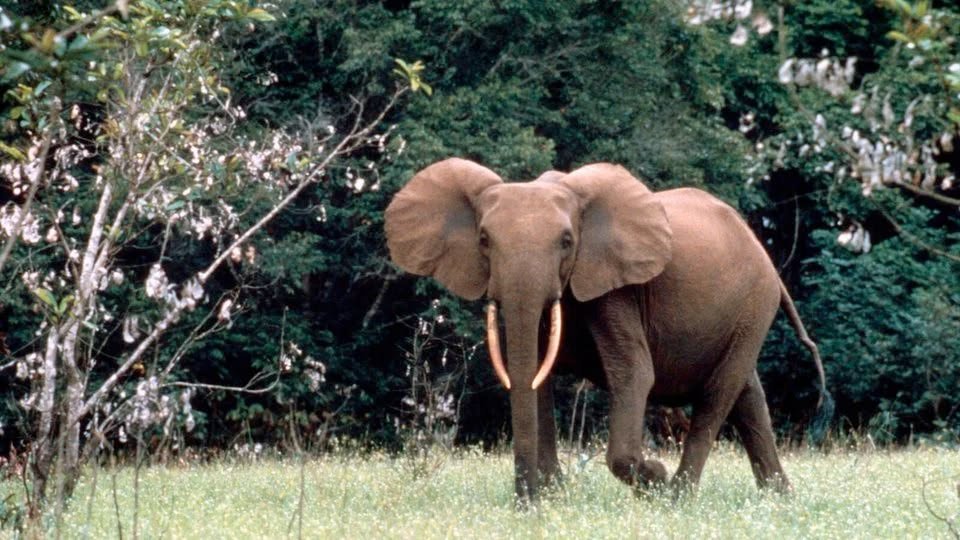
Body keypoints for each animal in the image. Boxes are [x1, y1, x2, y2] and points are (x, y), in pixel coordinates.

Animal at [384, 158, 826, 502]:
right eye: (484, 240)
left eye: (567, 241)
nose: (524, 503)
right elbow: (535, 375)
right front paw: (553, 496)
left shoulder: (616, 289)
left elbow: (634, 373)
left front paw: (653, 477)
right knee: (749, 397)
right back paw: (781, 500)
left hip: (755, 303)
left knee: (719, 393)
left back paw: (677, 498)